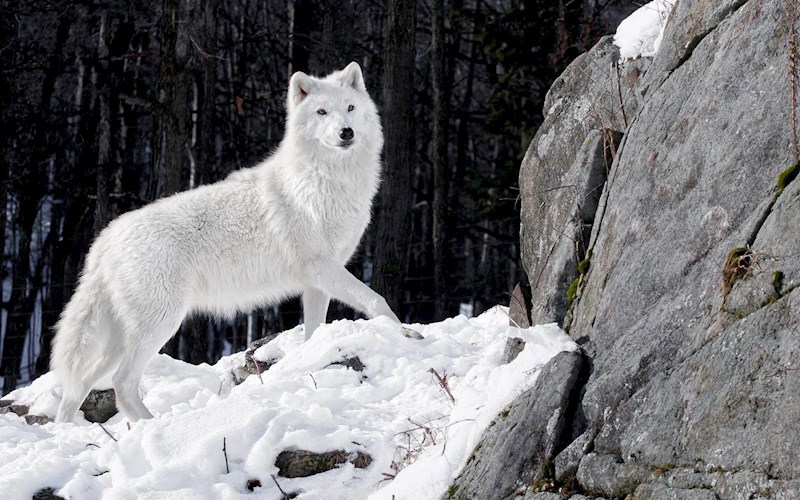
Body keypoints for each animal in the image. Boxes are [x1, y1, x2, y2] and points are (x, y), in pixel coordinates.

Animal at [52, 61, 416, 422]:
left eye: (350, 108)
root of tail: (105, 238)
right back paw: (154, 426)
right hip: (160, 324)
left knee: (79, 386)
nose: (346, 133)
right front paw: (408, 334)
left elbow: (314, 331)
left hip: (122, 338)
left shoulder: (318, 282)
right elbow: (377, 300)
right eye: (322, 112)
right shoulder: (323, 268)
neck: (327, 181)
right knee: (122, 383)